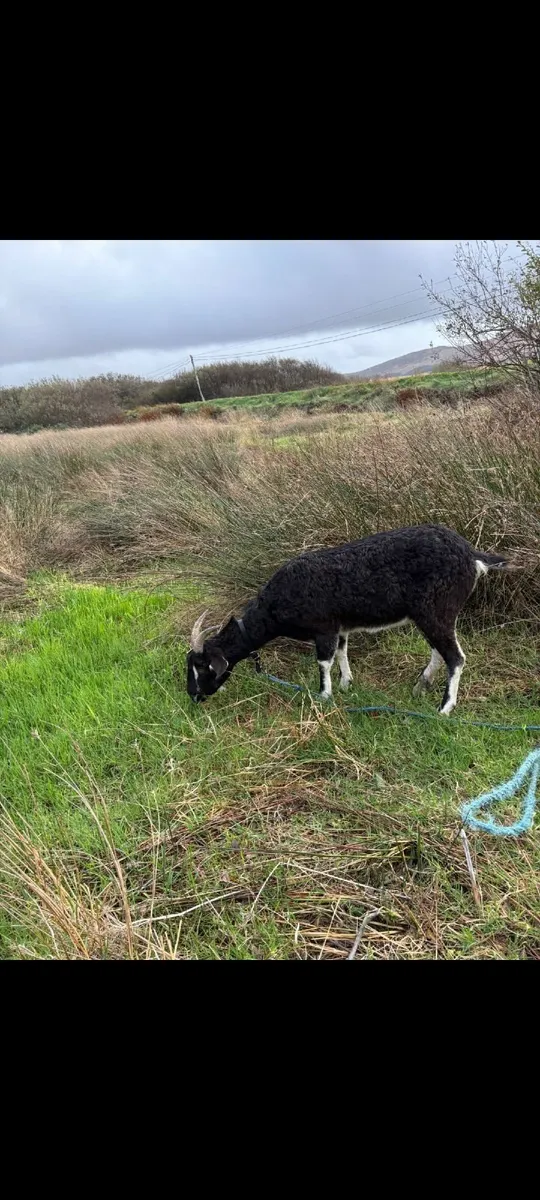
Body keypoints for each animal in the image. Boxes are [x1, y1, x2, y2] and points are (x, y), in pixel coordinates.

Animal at [186, 524, 510, 713]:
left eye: (203, 667)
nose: (193, 696)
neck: (273, 607)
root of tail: (472, 555)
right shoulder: (340, 628)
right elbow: (342, 653)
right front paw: (345, 685)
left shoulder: (324, 628)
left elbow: (324, 661)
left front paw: (324, 695)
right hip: (432, 615)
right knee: (439, 651)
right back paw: (421, 685)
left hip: (436, 610)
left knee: (455, 657)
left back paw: (444, 708)